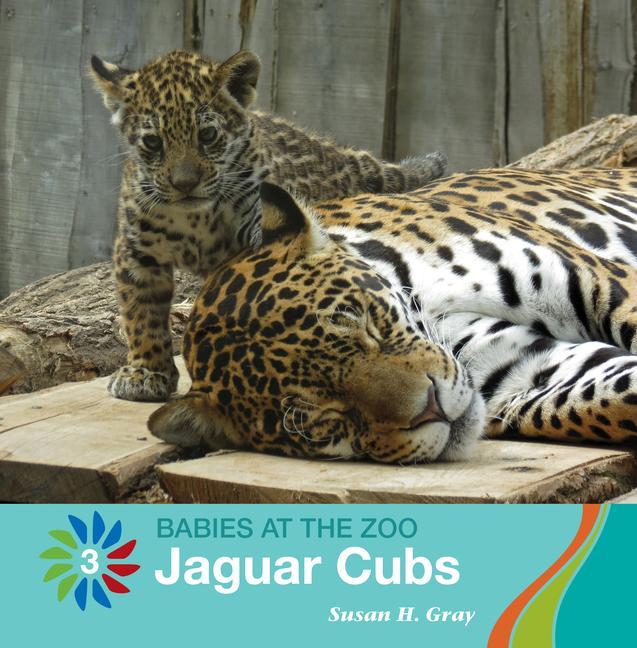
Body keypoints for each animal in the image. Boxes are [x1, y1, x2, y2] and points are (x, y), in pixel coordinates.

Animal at [90, 48, 446, 403]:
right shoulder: (137, 252)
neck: (195, 219)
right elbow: (141, 314)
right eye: (152, 142)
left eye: (207, 135)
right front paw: (146, 373)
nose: (184, 184)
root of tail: (341, 156)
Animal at [149, 167, 637, 464]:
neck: (429, 304)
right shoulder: (521, 374)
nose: (433, 409)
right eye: (324, 418)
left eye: (366, 323)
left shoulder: (597, 280)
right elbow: (602, 401)